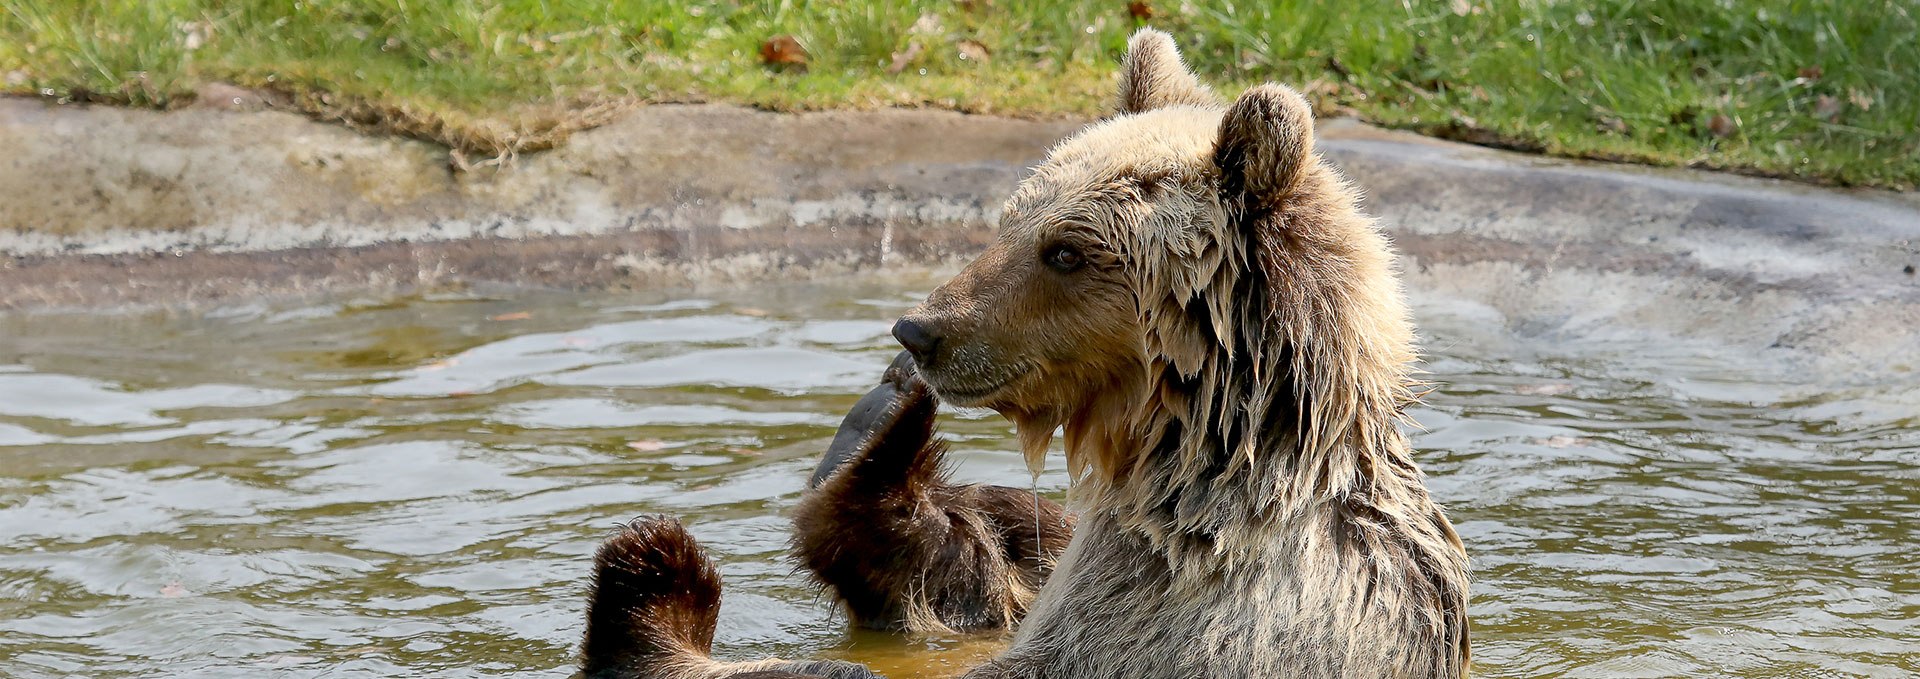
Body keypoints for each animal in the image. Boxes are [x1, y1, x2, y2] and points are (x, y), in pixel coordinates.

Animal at [576, 27, 1459, 679]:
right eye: (1010, 219)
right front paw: (886, 436)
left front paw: (658, 584)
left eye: (1065, 250)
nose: (920, 330)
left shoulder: (1223, 616)